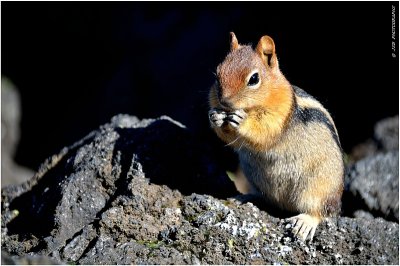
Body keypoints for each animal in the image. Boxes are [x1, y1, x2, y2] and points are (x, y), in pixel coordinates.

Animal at [209, 32, 344, 241]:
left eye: (254, 79)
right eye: (217, 74)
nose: (225, 102)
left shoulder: (279, 114)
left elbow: (265, 130)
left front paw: (242, 121)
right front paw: (215, 116)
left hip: (319, 187)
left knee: (321, 211)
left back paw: (304, 223)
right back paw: (245, 197)